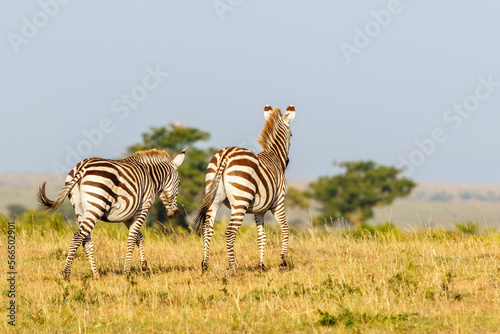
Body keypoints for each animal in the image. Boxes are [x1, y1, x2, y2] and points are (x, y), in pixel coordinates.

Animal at [37, 147, 186, 280]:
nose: (175, 214)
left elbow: (139, 237)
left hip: (80, 209)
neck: (150, 177)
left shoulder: (128, 216)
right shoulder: (142, 209)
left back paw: (96, 275)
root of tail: (83, 166)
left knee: (86, 241)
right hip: (96, 206)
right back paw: (66, 274)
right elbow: (132, 239)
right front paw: (127, 273)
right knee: (77, 236)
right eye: (179, 183)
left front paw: (144, 268)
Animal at [194, 104, 296, 272]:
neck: (274, 156)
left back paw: (205, 264)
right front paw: (284, 261)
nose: (287, 161)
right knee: (230, 232)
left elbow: (261, 237)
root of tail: (226, 155)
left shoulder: (259, 210)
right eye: (292, 135)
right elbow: (285, 229)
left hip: (214, 197)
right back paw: (232, 267)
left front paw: (261, 265)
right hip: (240, 202)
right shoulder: (278, 203)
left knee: (207, 228)